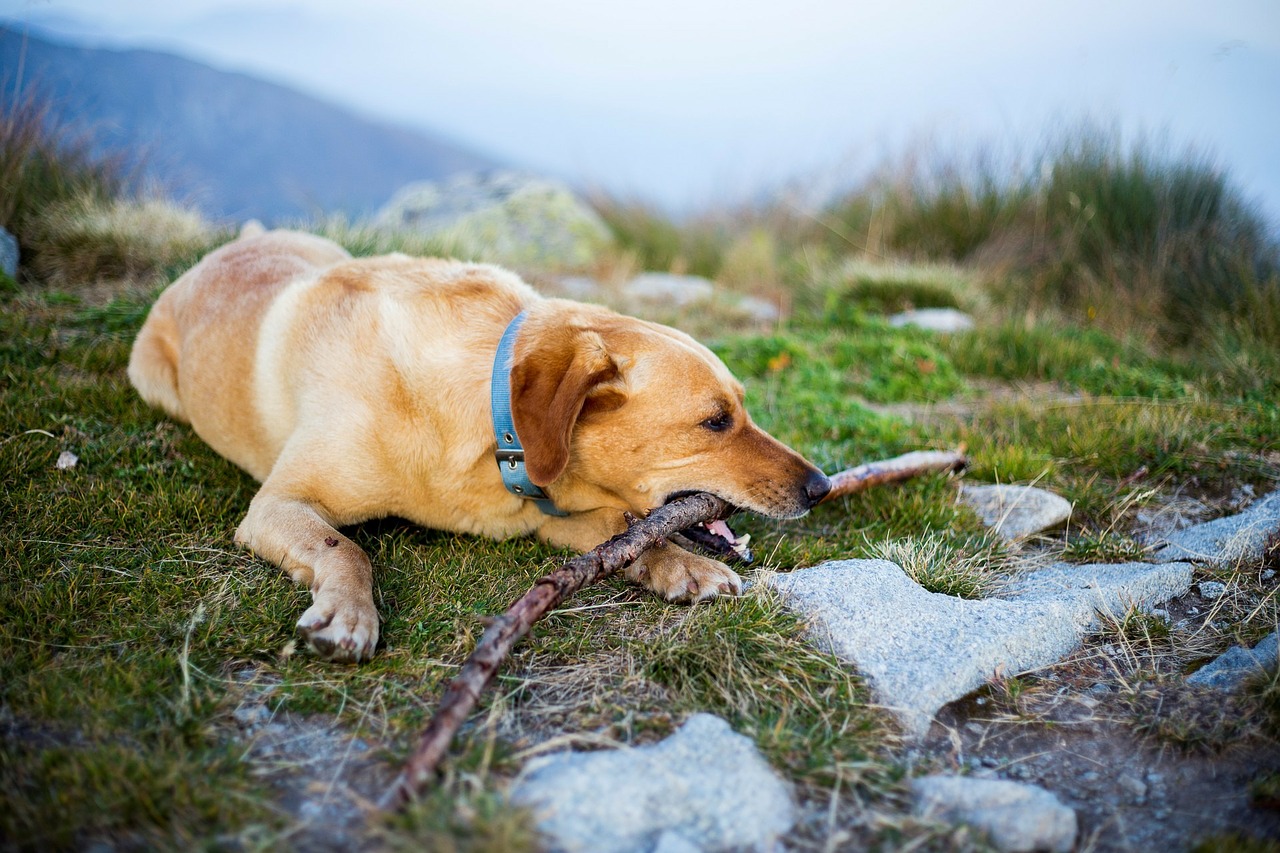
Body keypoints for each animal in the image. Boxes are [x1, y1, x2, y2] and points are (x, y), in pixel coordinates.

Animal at [129, 229, 829, 660]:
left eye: (740, 409)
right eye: (716, 421)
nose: (822, 487)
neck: (494, 432)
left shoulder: (555, 517)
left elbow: (626, 532)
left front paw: (683, 566)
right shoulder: (277, 504)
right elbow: (344, 549)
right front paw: (349, 613)